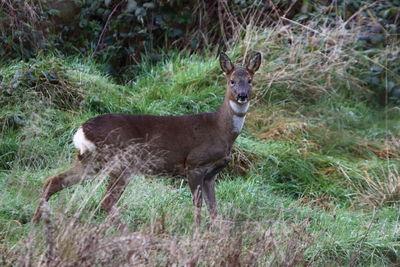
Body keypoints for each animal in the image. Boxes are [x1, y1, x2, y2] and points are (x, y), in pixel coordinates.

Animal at [32, 52, 262, 226]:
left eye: (250, 81)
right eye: (232, 81)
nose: (242, 95)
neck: (221, 130)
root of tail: (82, 130)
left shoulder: (211, 174)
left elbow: (214, 208)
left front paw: (215, 232)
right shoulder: (194, 164)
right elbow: (197, 205)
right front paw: (197, 232)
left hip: (93, 161)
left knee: (54, 180)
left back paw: (36, 220)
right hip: (122, 161)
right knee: (106, 201)